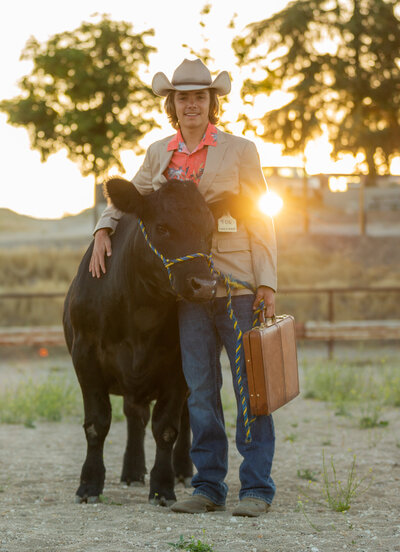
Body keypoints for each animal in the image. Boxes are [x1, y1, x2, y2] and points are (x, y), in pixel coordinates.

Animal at [63, 177, 216, 504]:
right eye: (163, 227)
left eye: (210, 231)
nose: (205, 285)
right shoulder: (85, 355)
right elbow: (97, 423)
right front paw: (89, 484)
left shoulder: (178, 365)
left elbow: (167, 427)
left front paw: (163, 486)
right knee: (136, 415)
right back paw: (132, 471)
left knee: (185, 416)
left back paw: (182, 470)